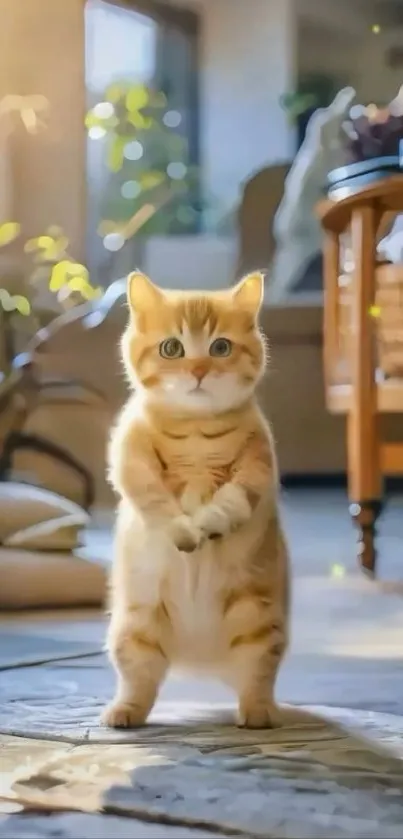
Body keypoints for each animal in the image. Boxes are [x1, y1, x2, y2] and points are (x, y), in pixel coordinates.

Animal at [101, 270, 290, 728]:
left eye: (221, 347)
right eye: (173, 348)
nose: (200, 370)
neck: (196, 431)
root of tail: (202, 659)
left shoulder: (258, 465)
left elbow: (233, 500)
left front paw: (209, 523)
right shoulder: (130, 457)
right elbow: (154, 498)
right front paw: (183, 531)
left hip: (258, 620)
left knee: (256, 678)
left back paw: (259, 713)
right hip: (134, 625)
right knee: (140, 683)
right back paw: (124, 712)